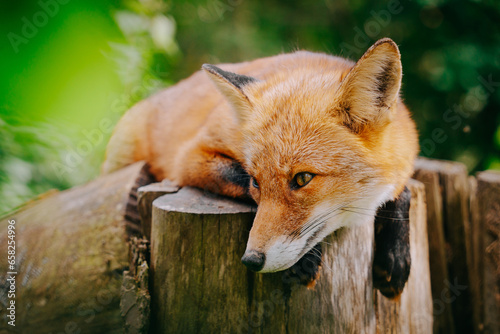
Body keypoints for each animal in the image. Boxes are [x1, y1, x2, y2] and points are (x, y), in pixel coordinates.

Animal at [104, 37, 418, 298]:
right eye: (255, 181)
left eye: (303, 178)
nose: (251, 260)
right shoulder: (191, 156)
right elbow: (237, 180)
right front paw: (304, 262)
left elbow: (403, 193)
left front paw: (396, 257)